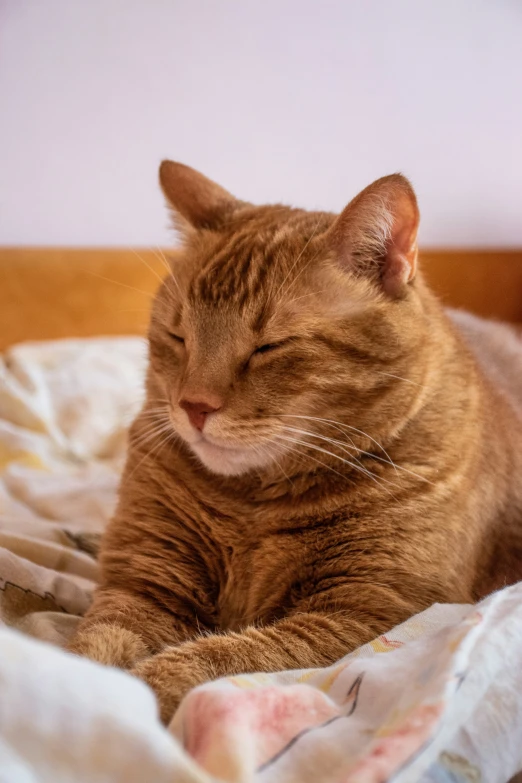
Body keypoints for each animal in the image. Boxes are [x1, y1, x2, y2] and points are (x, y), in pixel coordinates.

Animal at [68, 161, 520, 724]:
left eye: (269, 347)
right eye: (178, 337)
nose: (194, 405)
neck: (252, 502)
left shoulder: (369, 614)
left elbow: (225, 656)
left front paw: (148, 689)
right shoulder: (145, 583)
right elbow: (93, 651)